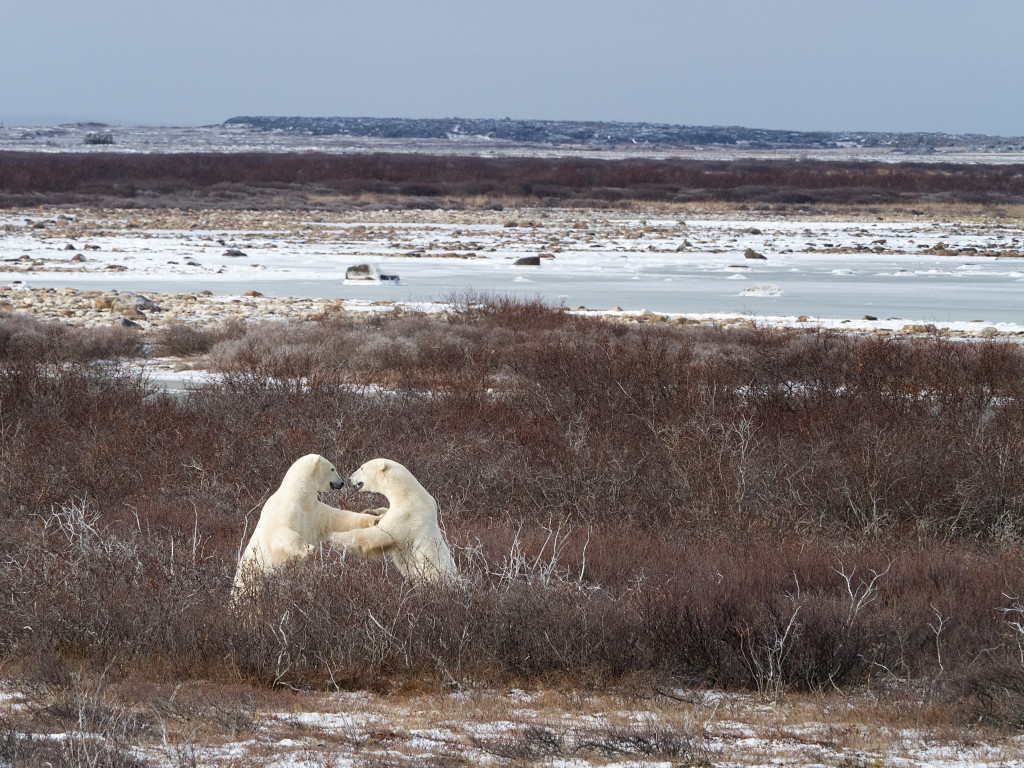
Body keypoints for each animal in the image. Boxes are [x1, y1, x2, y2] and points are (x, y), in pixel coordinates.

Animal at [231, 454, 382, 598]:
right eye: (332, 468)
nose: (342, 482)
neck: (297, 493)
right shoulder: (286, 511)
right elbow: (282, 534)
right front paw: (307, 549)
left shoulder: (312, 512)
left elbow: (337, 519)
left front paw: (375, 518)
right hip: (251, 579)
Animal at [330, 458, 459, 584]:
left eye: (362, 468)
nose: (349, 479)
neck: (408, 494)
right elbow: (384, 513)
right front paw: (370, 512)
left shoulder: (406, 515)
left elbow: (376, 535)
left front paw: (334, 536)